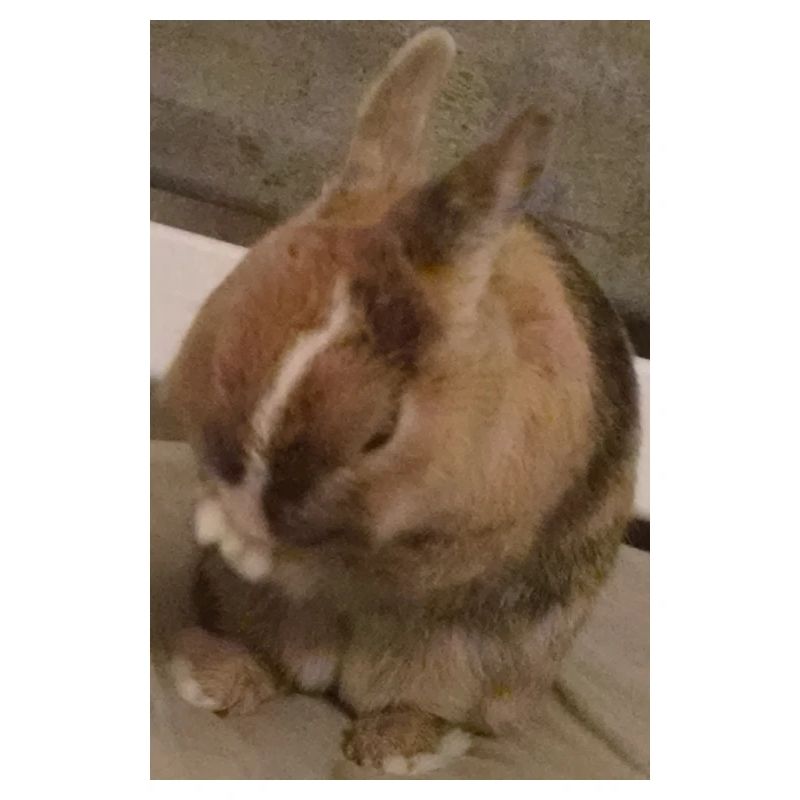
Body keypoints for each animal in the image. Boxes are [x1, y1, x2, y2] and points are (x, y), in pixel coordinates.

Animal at [162, 27, 639, 775]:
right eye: (231, 319)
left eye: (380, 432)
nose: (247, 502)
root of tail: (339, 672)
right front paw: (220, 521)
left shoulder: (450, 545)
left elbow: (343, 560)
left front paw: (244, 541)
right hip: (245, 612)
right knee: (274, 663)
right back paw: (213, 675)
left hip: (480, 664)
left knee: (438, 707)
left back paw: (395, 748)